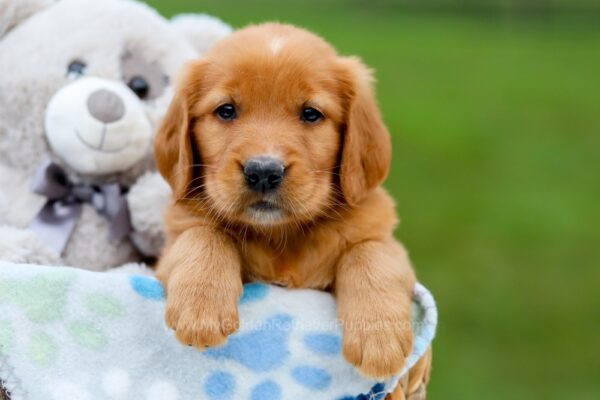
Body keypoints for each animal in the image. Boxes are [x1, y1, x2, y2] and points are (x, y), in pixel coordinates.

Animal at [155, 22, 414, 378]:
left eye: (311, 114)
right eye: (226, 111)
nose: (263, 171)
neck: (281, 236)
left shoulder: (381, 235)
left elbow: (371, 253)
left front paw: (379, 337)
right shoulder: (170, 246)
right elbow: (204, 235)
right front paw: (200, 306)